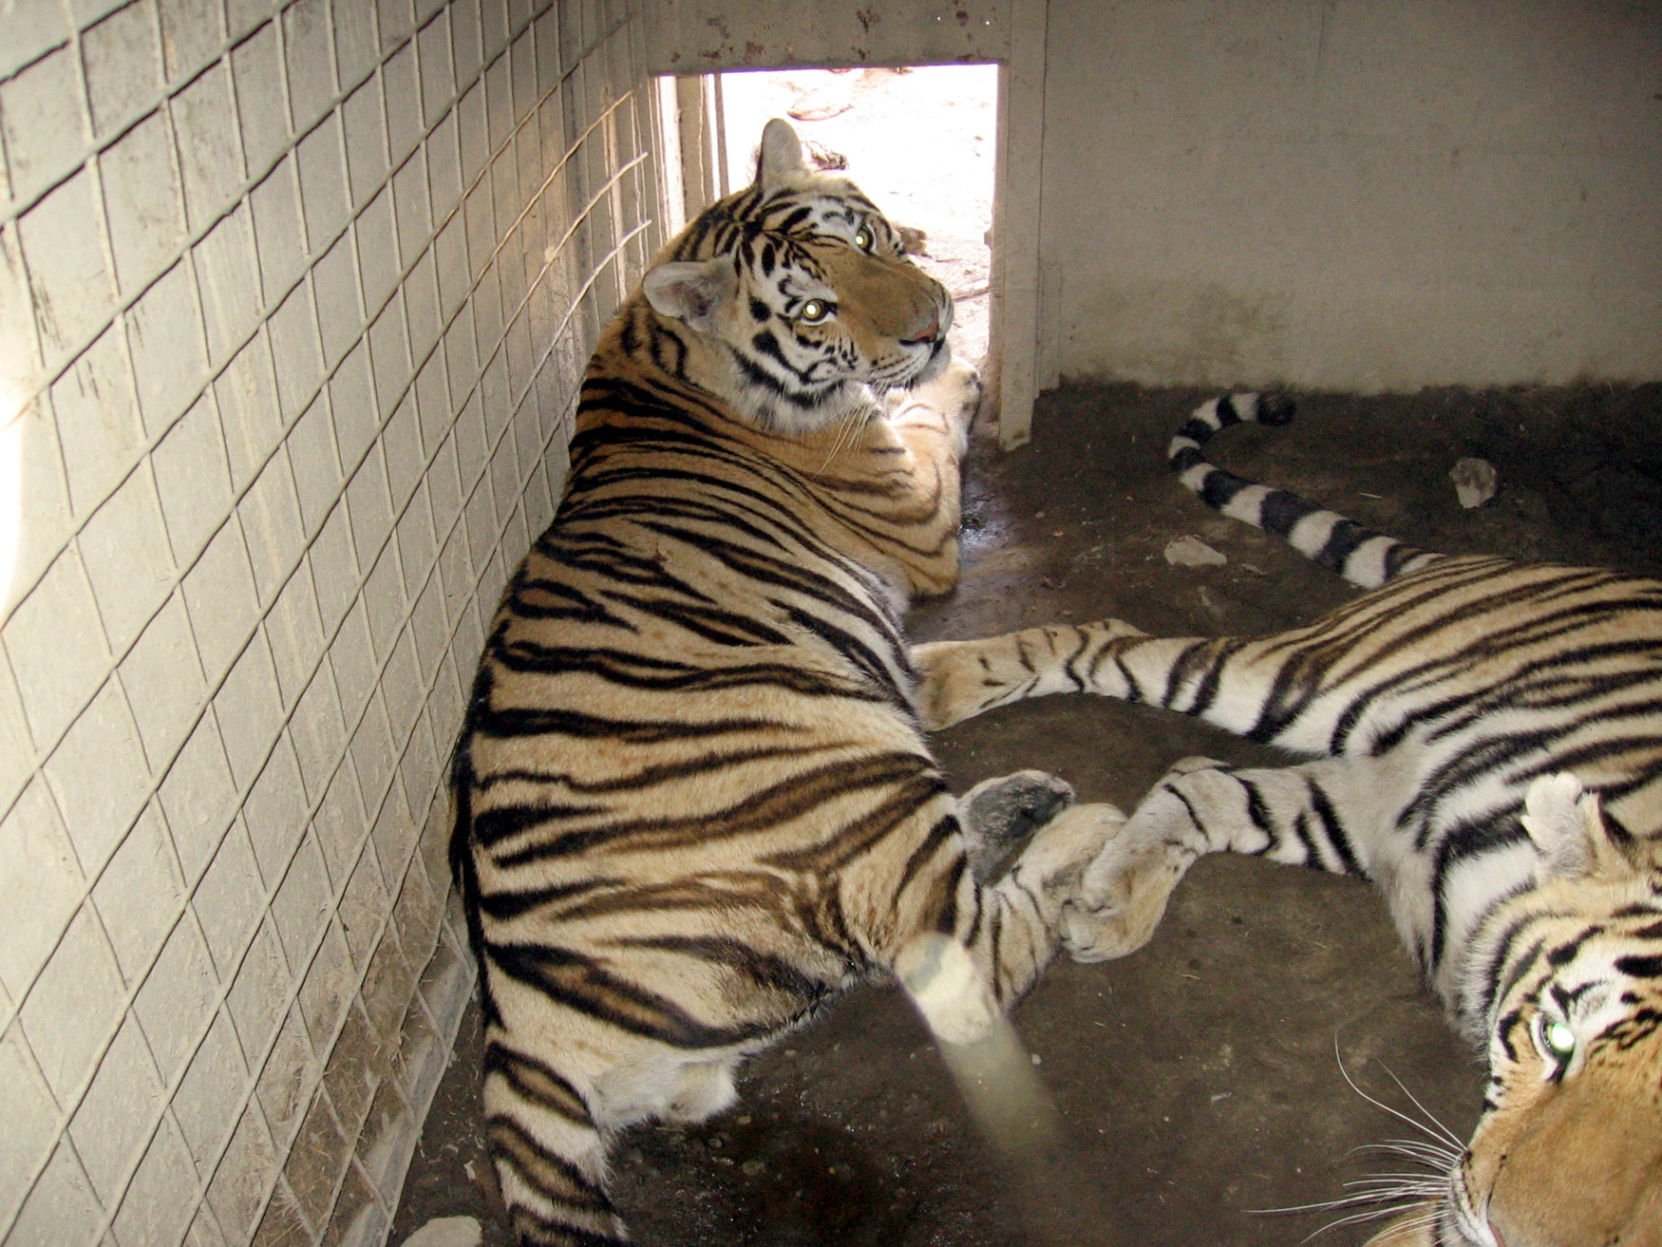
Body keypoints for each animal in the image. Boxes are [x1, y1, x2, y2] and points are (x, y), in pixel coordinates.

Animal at [442, 119, 1123, 1247]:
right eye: (811, 307)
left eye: (874, 240)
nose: (935, 323)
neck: (668, 351)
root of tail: (519, 1043)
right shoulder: (921, 521)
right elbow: (929, 419)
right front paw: (963, 375)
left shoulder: (907, 633)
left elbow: (999, 642)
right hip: (855, 760)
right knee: (969, 951)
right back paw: (1086, 825)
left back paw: (1030, 800)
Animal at [917, 395, 1662, 1247]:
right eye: (1557, 1037)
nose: (1519, 1232)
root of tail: (1496, 564)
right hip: (1302, 680)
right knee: (1107, 639)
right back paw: (939, 681)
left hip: (1373, 805)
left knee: (1197, 778)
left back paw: (1112, 904)